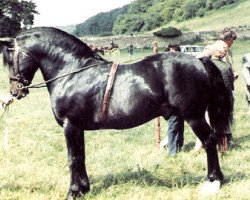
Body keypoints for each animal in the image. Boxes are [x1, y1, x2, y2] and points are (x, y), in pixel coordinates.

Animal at [0, 27, 233, 199]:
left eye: (10, 59)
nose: (15, 91)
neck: (72, 72)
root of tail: (199, 60)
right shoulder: (78, 127)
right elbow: (81, 156)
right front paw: (84, 189)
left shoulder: (70, 125)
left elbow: (73, 158)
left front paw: (73, 192)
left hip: (194, 116)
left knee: (210, 141)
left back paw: (214, 182)